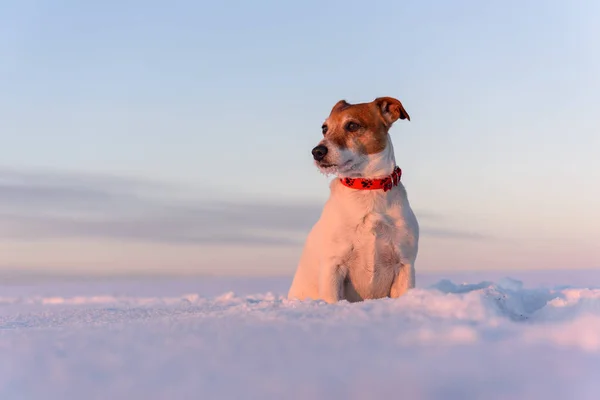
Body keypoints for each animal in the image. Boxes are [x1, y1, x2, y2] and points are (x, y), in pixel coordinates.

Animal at [288, 97, 420, 304]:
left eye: (352, 125)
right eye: (324, 128)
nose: (317, 151)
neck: (367, 189)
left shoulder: (404, 264)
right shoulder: (333, 267)